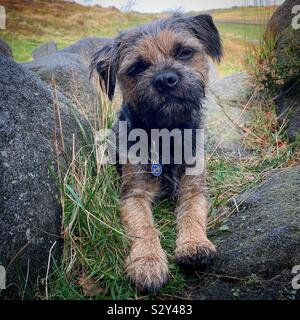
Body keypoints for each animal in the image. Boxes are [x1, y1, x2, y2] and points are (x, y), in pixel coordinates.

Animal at [91, 13, 223, 294]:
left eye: (184, 52)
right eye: (137, 68)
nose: (165, 79)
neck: (168, 134)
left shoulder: (194, 188)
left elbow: (193, 213)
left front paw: (194, 244)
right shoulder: (133, 194)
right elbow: (143, 226)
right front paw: (148, 262)